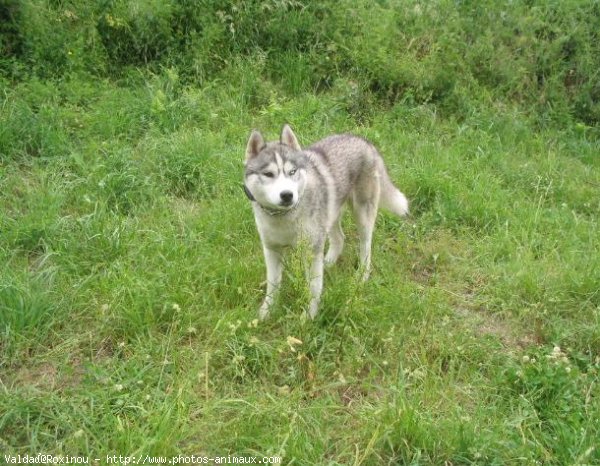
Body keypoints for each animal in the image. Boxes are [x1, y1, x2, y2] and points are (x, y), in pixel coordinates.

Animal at [244, 124, 408, 320]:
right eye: (268, 174)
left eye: (292, 172)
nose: (287, 195)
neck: (284, 217)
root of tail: (363, 140)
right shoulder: (272, 249)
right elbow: (273, 284)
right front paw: (266, 312)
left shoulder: (311, 251)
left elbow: (314, 288)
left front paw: (309, 316)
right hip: (330, 215)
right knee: (339, 238)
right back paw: (328, 261)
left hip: (362, 216)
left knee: (366, 247)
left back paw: (362, 276)